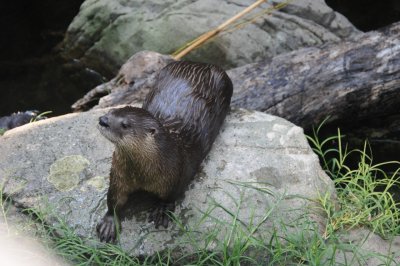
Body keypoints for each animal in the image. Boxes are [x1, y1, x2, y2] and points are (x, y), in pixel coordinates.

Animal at [96, 60, 231, 243]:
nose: (102, 120)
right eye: (110, 112)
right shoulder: (118, 175)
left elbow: (170, 196)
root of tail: (201, 64)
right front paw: (109, 222)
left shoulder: (177, 174)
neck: (142, 173)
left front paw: (161, 209)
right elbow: (114, 198)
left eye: (125, 124)